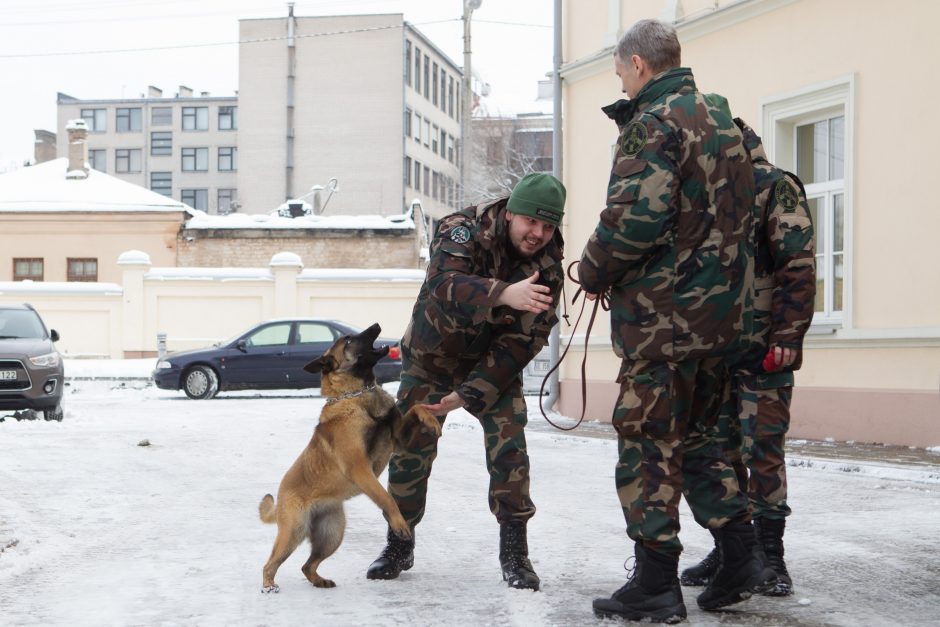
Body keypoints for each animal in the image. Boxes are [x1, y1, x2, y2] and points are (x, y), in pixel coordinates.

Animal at [258, 324, 440, 592]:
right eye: (348, 339)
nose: (376, 325)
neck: (356, 395)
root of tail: (280, 499)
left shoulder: (400, 441)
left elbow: (417, 408)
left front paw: (431, 420)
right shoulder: (360, 468)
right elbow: (386, 498)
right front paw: (399, 524)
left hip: (332, 534)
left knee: (307, 565)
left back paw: (319, 581)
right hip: (294, 532)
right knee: (270, 564)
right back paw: (269, 586)